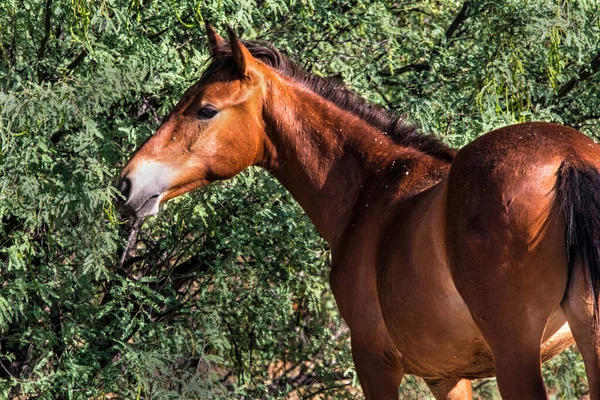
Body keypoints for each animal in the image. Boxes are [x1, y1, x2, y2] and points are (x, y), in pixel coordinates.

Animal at [117, 23, 600, 398]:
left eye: (206, 109)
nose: (128, 182)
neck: (372, 187)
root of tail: (567, 159)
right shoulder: (447, 376)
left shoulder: (374, 362)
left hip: (515, 356)